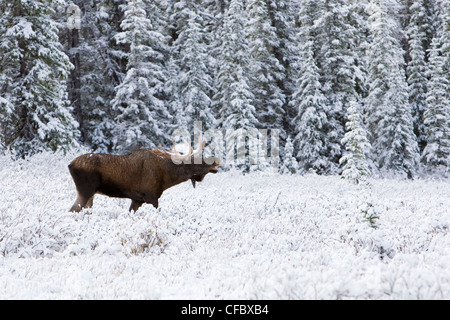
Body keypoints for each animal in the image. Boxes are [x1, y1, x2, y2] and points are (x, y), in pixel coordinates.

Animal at [68, 140, 220, 212]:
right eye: (194, 159)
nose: (215, 159)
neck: (167, 178)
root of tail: (70, 165)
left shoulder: (137, 200)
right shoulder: (152, 197)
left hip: (91, 195)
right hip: (86, 191)